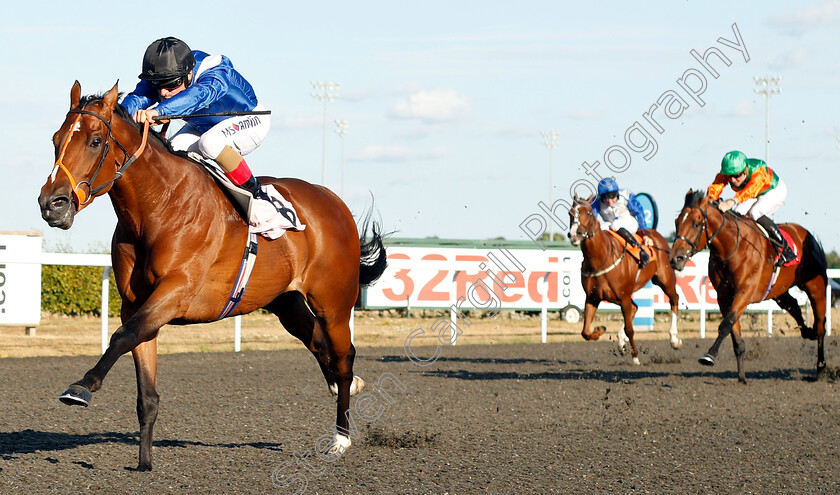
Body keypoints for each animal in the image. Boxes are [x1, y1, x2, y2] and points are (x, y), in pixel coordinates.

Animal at [38, 82, 388, 472]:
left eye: (95, 141)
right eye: (56, 139)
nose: (51, 204)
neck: (159, 206)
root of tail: (334, 201)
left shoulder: (177, 291)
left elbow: (121, 336)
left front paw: (81, 386)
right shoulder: (137, 304)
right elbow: (145, 386)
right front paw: (144, 462)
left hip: (334, 302)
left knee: (343, 356)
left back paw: (341, 438)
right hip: (286, 302)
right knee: (318, 344)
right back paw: (348, 388)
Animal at [564, 195, 684, 364]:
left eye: (588, 212)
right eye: (570, 212)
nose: (576, 234)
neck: (601, 258)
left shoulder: (624, 296)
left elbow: (630, 329)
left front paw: (635, 356)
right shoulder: (592, 297)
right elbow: (585, 331)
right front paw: (600, 329)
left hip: (664, 280)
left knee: (674, 299)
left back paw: (674, 340)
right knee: (635, 308)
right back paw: (621, 342)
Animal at [668, 190, 828, 384]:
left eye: (696, 223)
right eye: (677, 222)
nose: (675, 259)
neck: (732, 247)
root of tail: (807, 235)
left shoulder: (744, 292)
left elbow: (726, 323)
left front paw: (709, 355)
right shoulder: (724, 297)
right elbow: (734, 333)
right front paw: (742, 377)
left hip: (816, 286)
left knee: (821, 326)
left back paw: (821, 367)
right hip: (778, 290)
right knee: (794, 306)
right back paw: (807, 332)